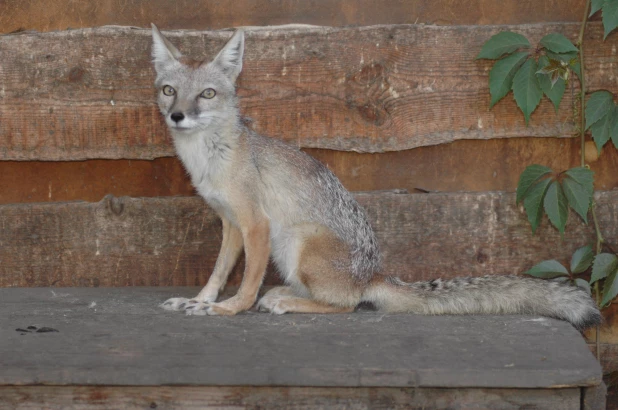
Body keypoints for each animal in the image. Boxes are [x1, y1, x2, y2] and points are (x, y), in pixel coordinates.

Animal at [152, 25, 600, 332]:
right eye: (169, 90)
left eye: (207, 94)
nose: (178, 116)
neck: (211, 158)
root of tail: (373, 273)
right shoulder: (231, 223)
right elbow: (218, 272)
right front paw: (200, 300)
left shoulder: (255, 225)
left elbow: (245, 283)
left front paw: (227, 309)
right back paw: (285, 294)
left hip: (295, 239)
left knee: (346, 304)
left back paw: (288, 301)